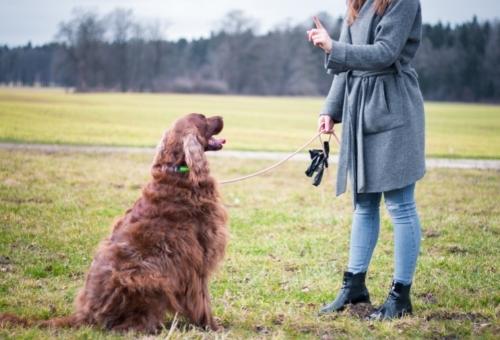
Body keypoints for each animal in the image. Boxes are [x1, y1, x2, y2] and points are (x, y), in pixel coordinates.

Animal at [0, 113, 228, 332]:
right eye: (203, 117)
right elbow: (203, 300)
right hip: (145, 277)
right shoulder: (197, 260)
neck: (178, 173)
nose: (221, 117)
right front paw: (212, 328)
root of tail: (85, 315)